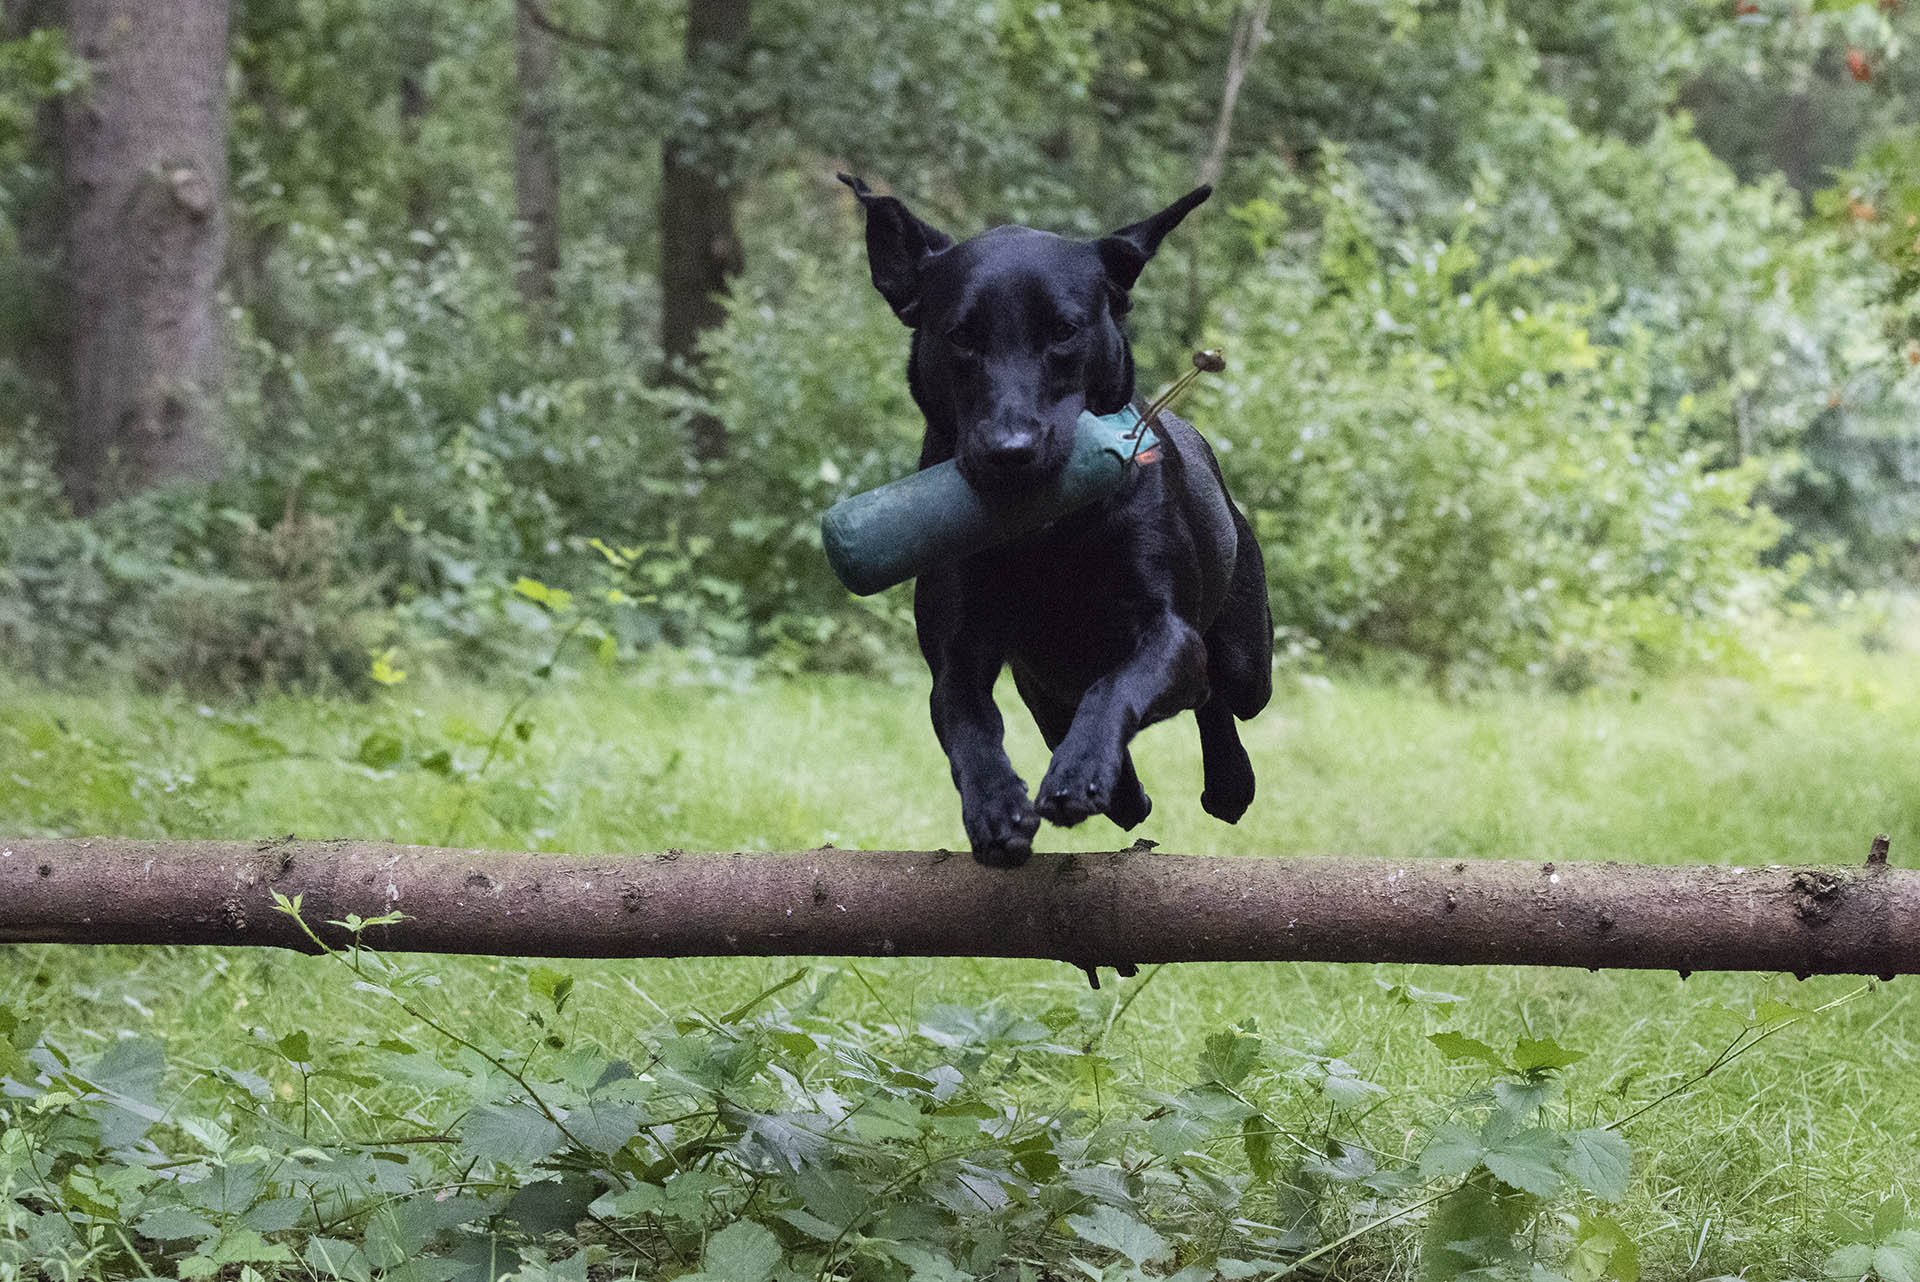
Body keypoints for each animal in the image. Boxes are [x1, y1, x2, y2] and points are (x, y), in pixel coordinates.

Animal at [833, 175, 1267, 867]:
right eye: (961, 336)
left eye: (1064, 331)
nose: (1010, 450)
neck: (1047, 538)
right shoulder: (957, 654)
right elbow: (967, 725)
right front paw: (996, 809)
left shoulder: (1167, 629)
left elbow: (1119, 684)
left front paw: (1081, 770)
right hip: (1041, 685)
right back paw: (1128, 794)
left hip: (1248, 661)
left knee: (1218, 695)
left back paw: (1226, 782)